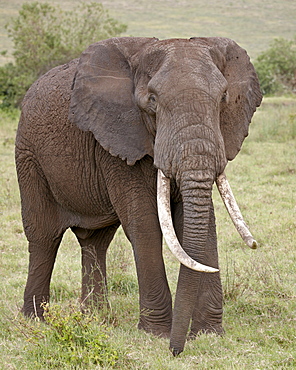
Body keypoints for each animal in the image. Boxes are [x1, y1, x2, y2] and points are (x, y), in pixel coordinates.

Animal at [16, 36, 262, 354]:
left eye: (223, 98)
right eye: (152, 101)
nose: (176, 350)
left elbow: (203, 226)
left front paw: (209, 334)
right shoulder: (117, 138)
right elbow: (145, 226)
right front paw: (156, 333)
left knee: (95, 240)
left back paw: (97, 318)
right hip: (28, 155)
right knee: (44, 236)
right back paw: (35, 320)